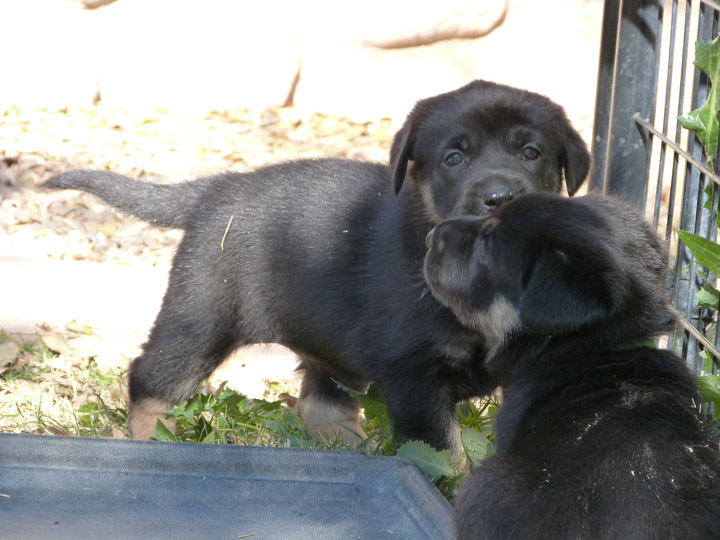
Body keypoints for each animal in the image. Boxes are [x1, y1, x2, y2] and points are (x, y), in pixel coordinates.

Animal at [43, 78, 592, 454]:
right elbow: (442, 452)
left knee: (320, 404)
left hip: (325, 340)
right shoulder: (416, 375)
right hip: (199, 319)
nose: (500, 198)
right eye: (454, 158)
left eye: (531, 152)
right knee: (150, 382)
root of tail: (216, 188)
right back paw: (152, 440)